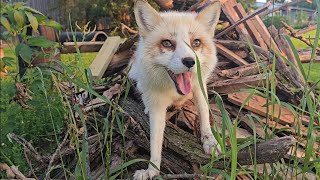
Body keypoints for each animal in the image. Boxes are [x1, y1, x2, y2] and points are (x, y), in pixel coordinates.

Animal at [129, 0, 221, 179]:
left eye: (196, 42)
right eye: (167, 43)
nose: (190, 61)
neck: (173, 91)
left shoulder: (199, 87)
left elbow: (205, 115)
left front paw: (209, 140)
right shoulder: (157, 106)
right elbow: (155, 143)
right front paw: (152, 170)